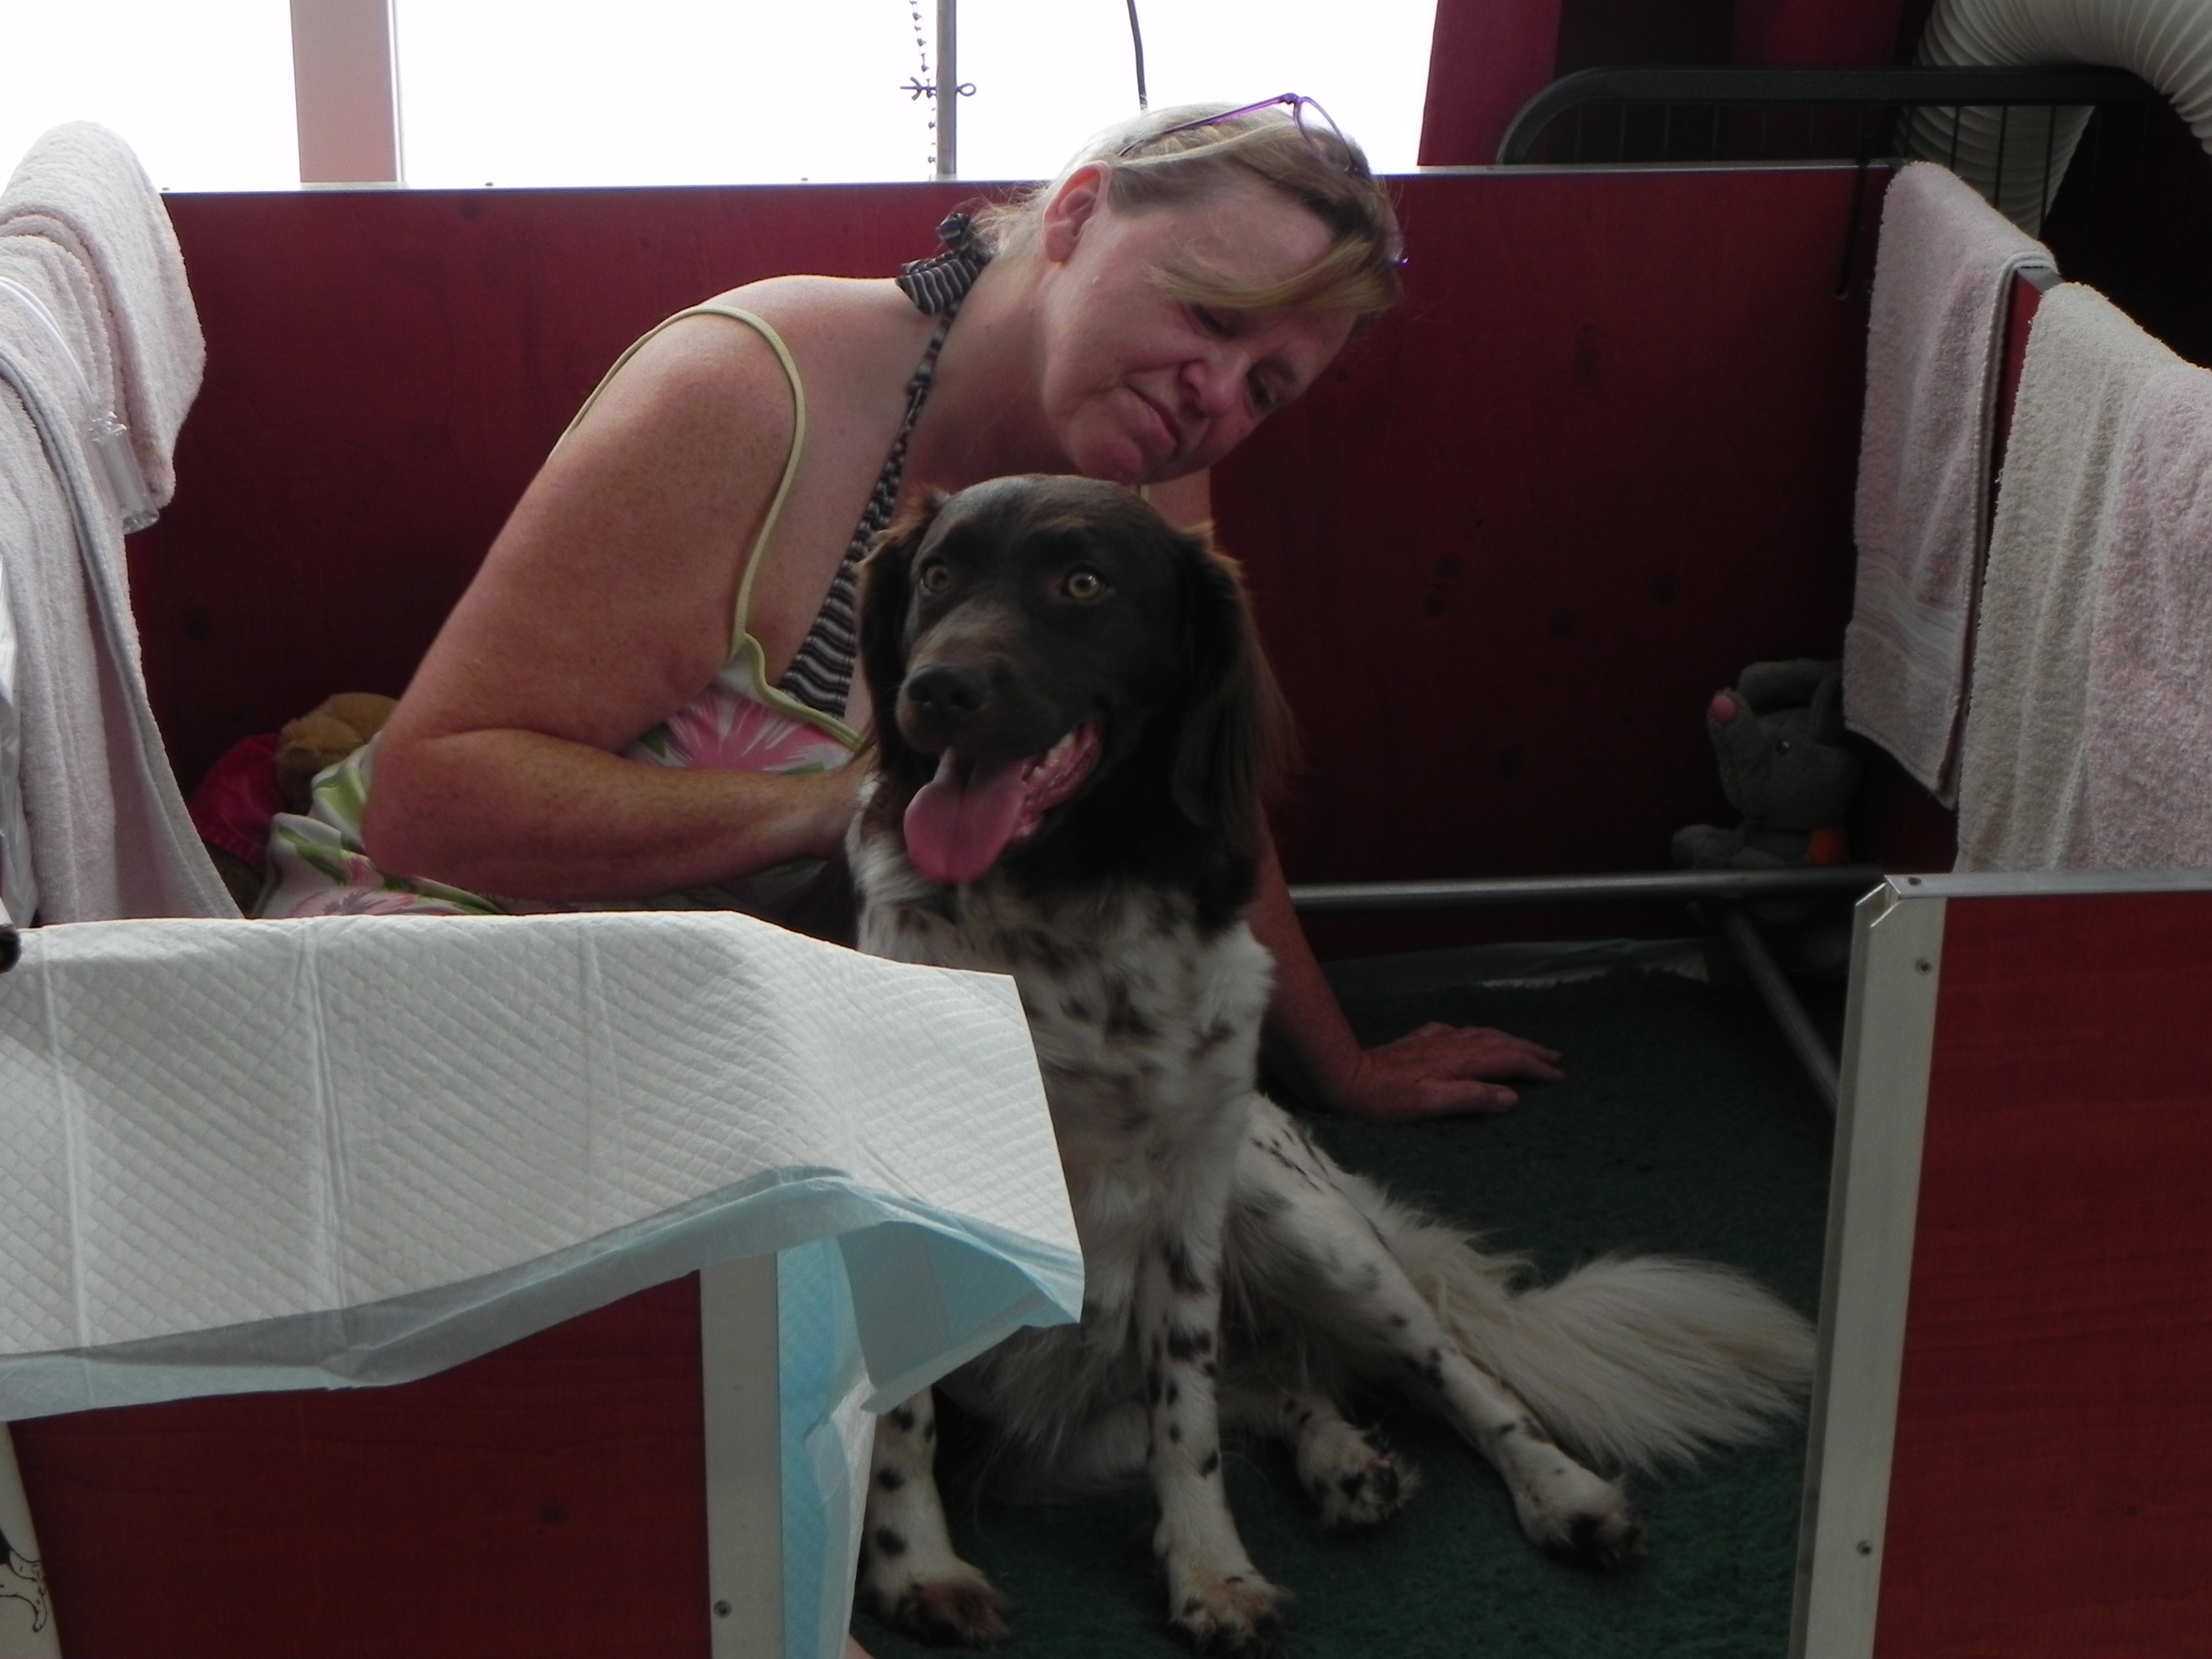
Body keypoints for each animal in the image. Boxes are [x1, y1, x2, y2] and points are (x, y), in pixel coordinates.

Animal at [847, 475, 1815, 1654]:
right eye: (938, 575)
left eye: (1082, 583)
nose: (937, 690)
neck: (1064, 914)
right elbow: (907, 1417)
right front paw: (917, 1569)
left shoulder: (1185, 1205)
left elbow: (1187, 1419)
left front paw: (1212, 1571)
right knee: (1272, 1385)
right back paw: (1343, 1458)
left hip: (1304, 1229)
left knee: (1453, 1380)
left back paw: (1552, 1492)